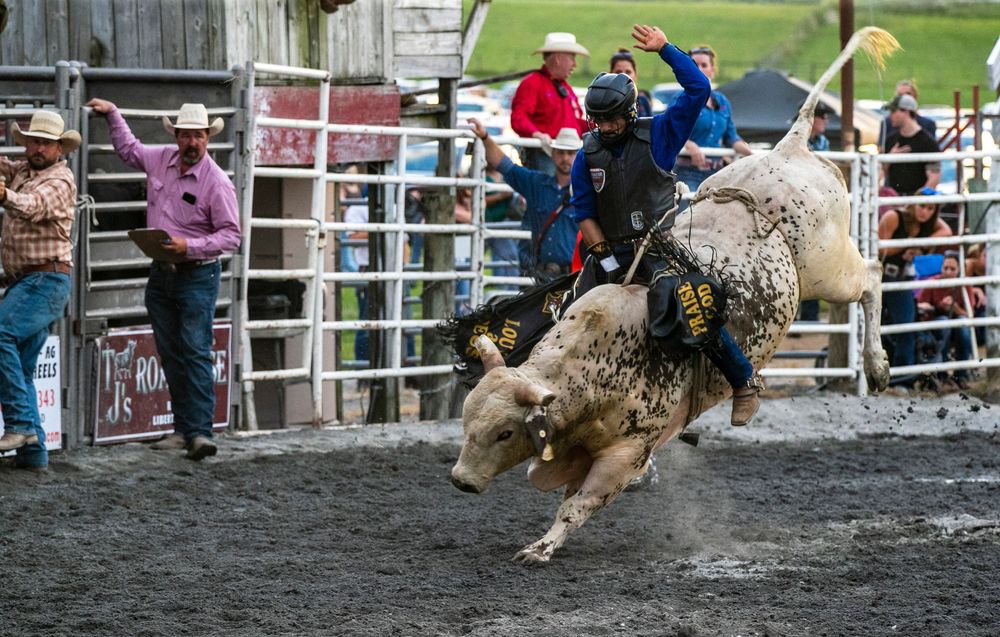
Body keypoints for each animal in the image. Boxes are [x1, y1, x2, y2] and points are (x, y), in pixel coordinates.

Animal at [450, 27, 897, 563]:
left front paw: (540, 548)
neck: (590, 370)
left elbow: (579, 504)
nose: (461, 480)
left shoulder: (627, 452)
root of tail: (788, 150)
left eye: (505, 431)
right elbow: (563, 489)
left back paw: (876, 367)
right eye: (467, 417)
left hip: (826, 266)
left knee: (871, 275)